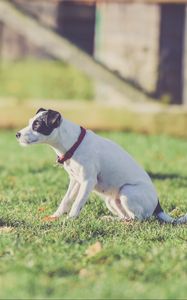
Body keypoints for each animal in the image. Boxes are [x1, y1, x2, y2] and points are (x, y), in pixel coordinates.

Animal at [16, 109, 187, 224]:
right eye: (30, 121)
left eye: (37, 125)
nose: (17, 134)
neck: (73, 143)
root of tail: (158, 206)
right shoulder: (75, 181)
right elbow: (66, 200)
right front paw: (56, 216)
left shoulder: (87, 181)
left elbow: (77, 203)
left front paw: (70, 220)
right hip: (111, 201)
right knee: (126, 216)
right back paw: (110, 218)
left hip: (127, 192)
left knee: (136, 218)